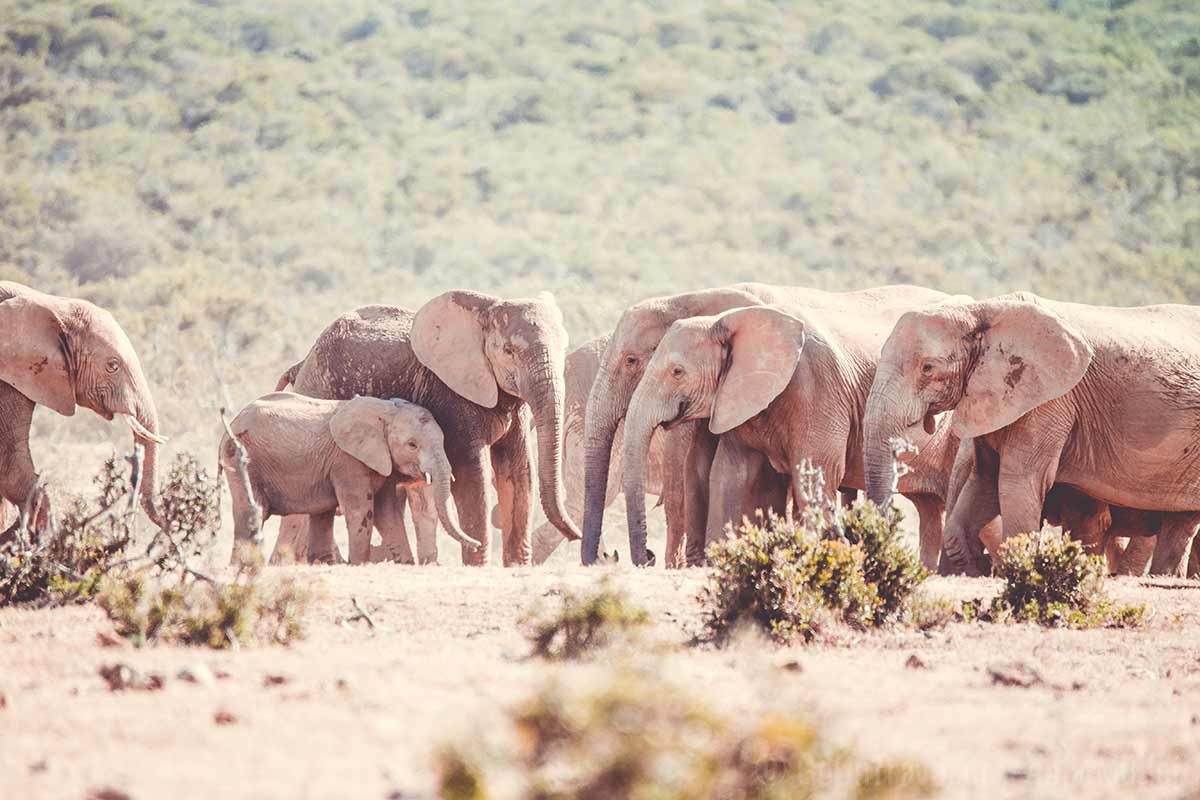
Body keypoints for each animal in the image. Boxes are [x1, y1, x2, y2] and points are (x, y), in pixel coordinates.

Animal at [218, 393, 480, 563]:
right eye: (412, 445)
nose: (477, 546)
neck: (385, 410)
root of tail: (231, 423)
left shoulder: (379, 459)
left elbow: (387, 513)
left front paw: (405, 563)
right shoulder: (348, 461)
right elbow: (361, 511)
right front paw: (359, 564)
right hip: (242, 460)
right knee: (252, 512)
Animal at [266, 291, 580, 566]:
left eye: (565, 349)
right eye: (509, 351)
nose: (575, 535)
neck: (483, 312)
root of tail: (302, 362)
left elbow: (518, 471)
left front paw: (516, 566)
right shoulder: (449, 393)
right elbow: (472, 475)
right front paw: (477, 564)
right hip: (317, 389)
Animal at [576, 284, 950, 566]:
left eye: (631, 361)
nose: (645, 557)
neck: (700, 301)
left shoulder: (815, 384)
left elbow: (813, 472)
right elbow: (724, 472)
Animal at [868, 291, 1200, 578]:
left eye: (927, 367)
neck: (982, 310)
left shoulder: (1050, 399)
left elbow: (1015, 480)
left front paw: (1021, 572)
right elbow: (984, 480)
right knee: (1181, 520)